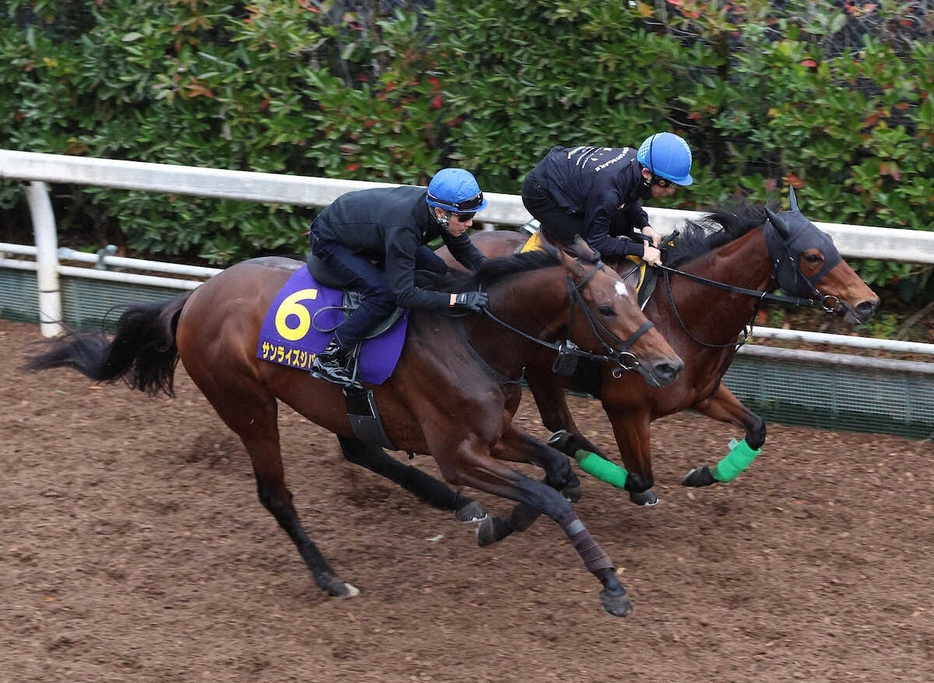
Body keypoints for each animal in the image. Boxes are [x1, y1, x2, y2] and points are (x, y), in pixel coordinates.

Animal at [29, 242, 684, 620]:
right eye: (607, 308)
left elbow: (557, 474)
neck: (472, 335)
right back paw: (330, 578)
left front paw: (496, 523)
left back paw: (458, 506)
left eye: (635, 297)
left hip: (328, 403)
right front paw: (609, 583)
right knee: (276, 494)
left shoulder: (494, 433)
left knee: (356, 446)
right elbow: (551, 495)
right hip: (246, 405)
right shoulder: (458, 451)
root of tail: (191, 300)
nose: (669, 365)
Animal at [450, 195, 880, 504]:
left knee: (558, 419)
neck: (682, 315)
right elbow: (641, 478)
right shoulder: (625, 410)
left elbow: (757, 429)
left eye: (832, 243)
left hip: (541, 370)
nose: (867, 303)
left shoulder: (703, 393)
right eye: (812, 255)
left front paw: (704, 474)